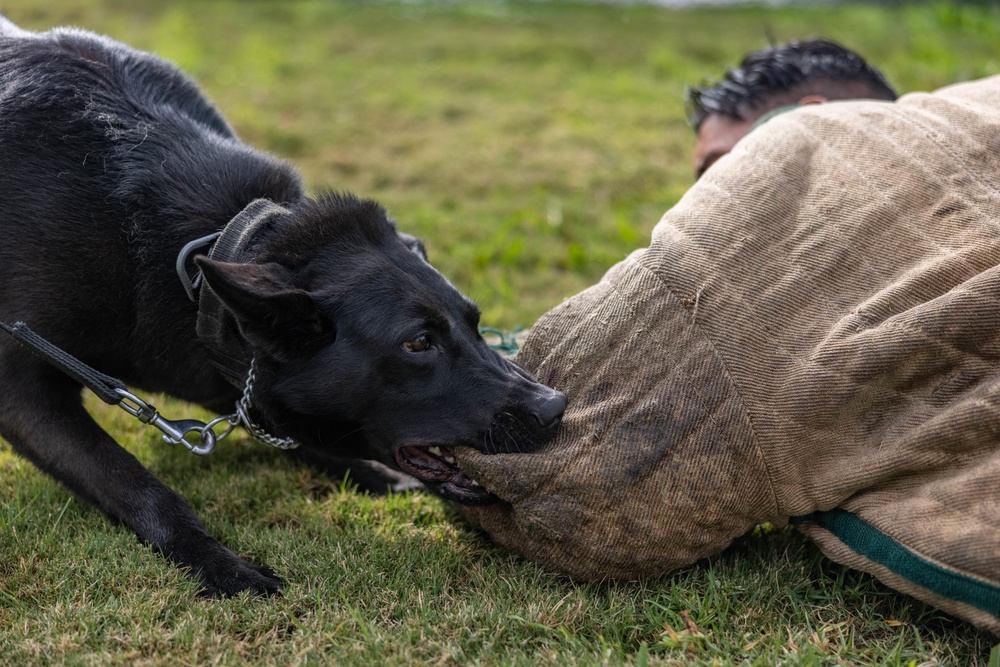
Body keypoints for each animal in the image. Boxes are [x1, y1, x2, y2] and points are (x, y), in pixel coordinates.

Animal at [0, 18, 564, 596]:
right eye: (418, 343)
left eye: (475, 323)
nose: (555, 408)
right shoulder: (21, 389)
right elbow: (137, 485)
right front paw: (222, 565)